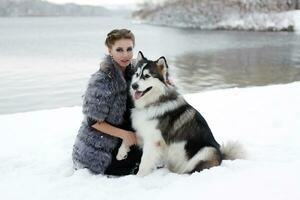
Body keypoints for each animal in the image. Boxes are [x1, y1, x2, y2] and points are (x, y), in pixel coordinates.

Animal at [116, 51, 245, 177]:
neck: (154, 102)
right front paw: (121, 152)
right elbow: (129, 137)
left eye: (147, 76)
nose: (134, 86)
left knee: (193, 169)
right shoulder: (146, 133)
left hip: (207, 151)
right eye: (137, 74)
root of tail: (221, 155)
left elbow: (144, 162)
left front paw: (139, 177)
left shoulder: (153, 140)